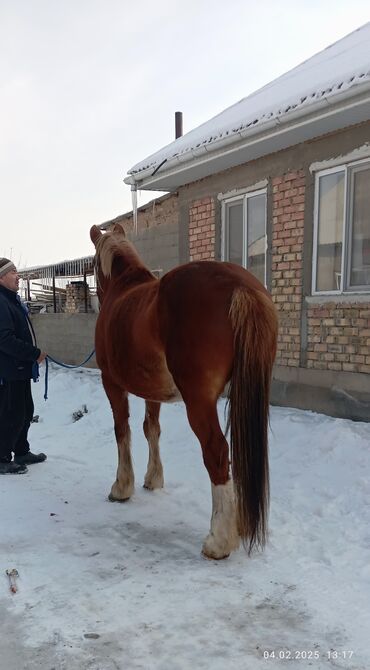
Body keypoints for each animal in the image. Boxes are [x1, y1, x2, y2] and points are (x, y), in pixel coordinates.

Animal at [90, 226, 278, 560]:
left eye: (93, 266)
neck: (123, 287)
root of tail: (240, 285)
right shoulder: (153, 391)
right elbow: (151, 429)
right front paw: (153, 479)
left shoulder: (111, 383)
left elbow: (122, 430)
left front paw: (121, 487)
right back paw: (239, 525)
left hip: (199, 401)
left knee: (217, 452)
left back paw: (218, 541)